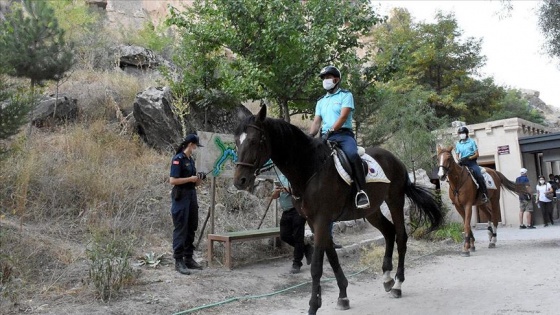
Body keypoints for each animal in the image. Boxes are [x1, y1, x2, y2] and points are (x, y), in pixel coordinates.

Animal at [232, 107, 442, 315]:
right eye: (236, 142)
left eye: (253, 141)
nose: (240, 181)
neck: (309, 169)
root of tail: (395, 159)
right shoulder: (314, 221)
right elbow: (331, 255)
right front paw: (342, 296)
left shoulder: (322, 220)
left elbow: (317, 265)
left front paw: (313, 306)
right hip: (371, 211)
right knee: (389, 232)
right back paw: (387, 278)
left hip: (395, 201)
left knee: (401, 237)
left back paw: (397, 284)